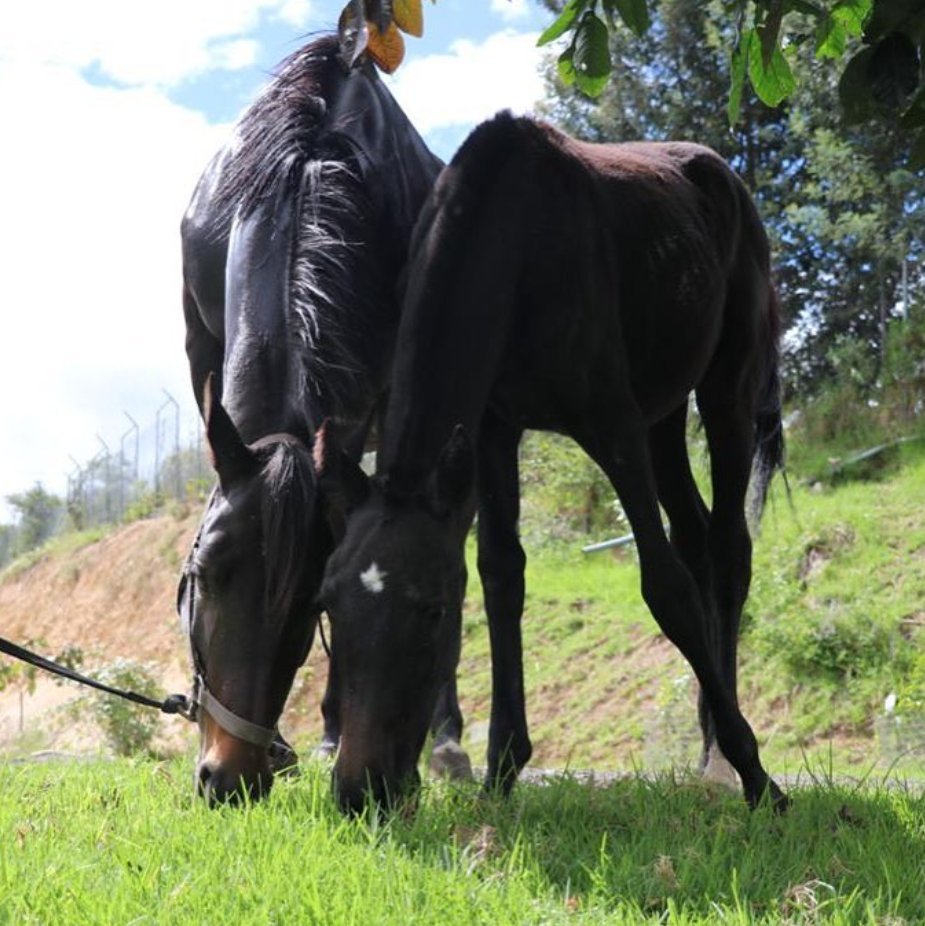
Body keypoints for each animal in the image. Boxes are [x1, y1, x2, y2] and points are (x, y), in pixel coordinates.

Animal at [317, 111, 788, 815]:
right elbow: (501, 574)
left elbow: (665, 587)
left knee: (729, 546)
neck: (514, 242)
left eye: (433, 612)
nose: (360, 789)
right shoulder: (492, 431)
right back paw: (708, 740)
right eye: (327, 605)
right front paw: (502, 767)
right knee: (697, 535)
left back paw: (724, 760)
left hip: (725, 387)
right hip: (663, 414)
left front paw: (759, 775)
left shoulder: (612, 423)